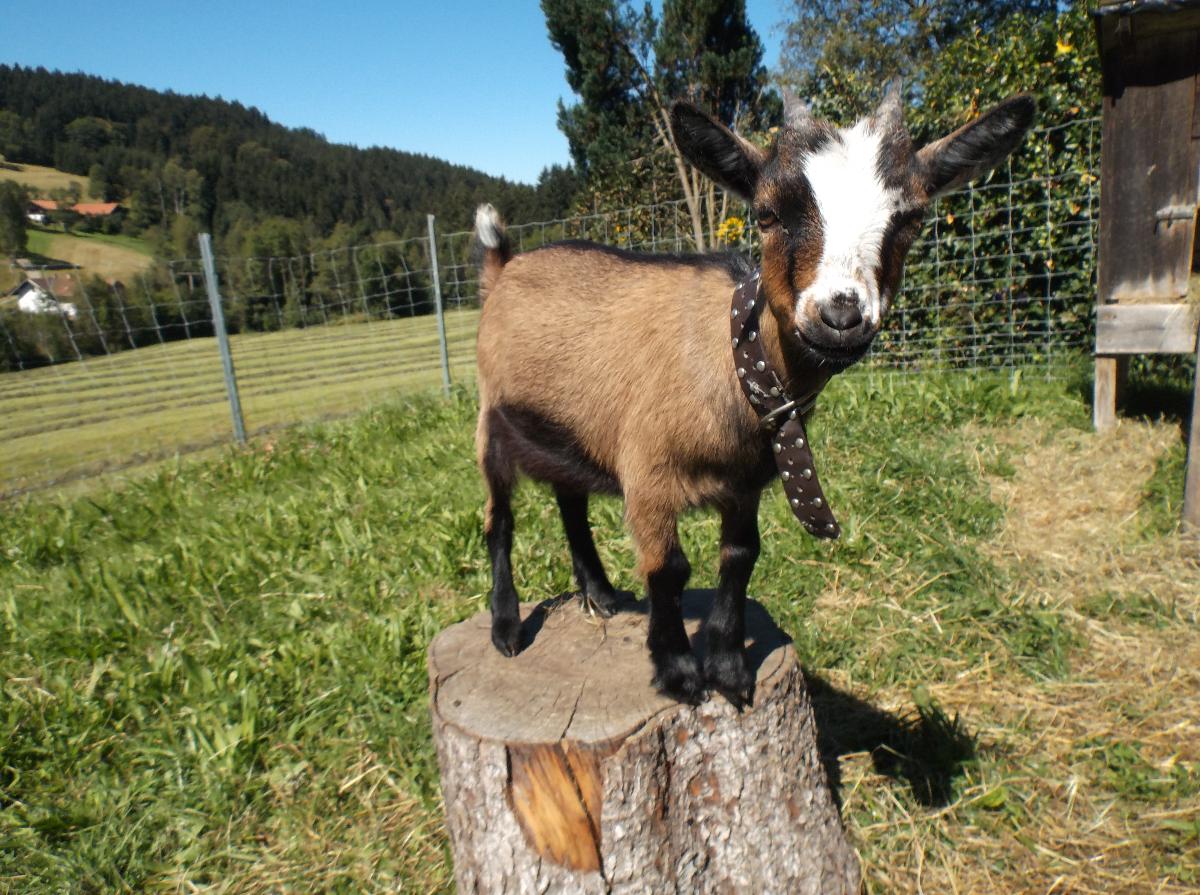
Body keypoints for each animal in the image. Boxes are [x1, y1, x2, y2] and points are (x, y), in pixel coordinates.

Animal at [468, 82, 1032, 705]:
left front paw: (730, 670)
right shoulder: (647, 475)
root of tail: (503, 268)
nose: (840, 316)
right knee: (498, 521)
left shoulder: (745, 486)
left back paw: (602, 593)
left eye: (911, 218)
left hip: (570, 430)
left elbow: (740, 557)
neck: (735, 366)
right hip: (491, 424)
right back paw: (506, 628)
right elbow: (669, 568)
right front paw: (679, 672)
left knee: (569, 498)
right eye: (766, 213)